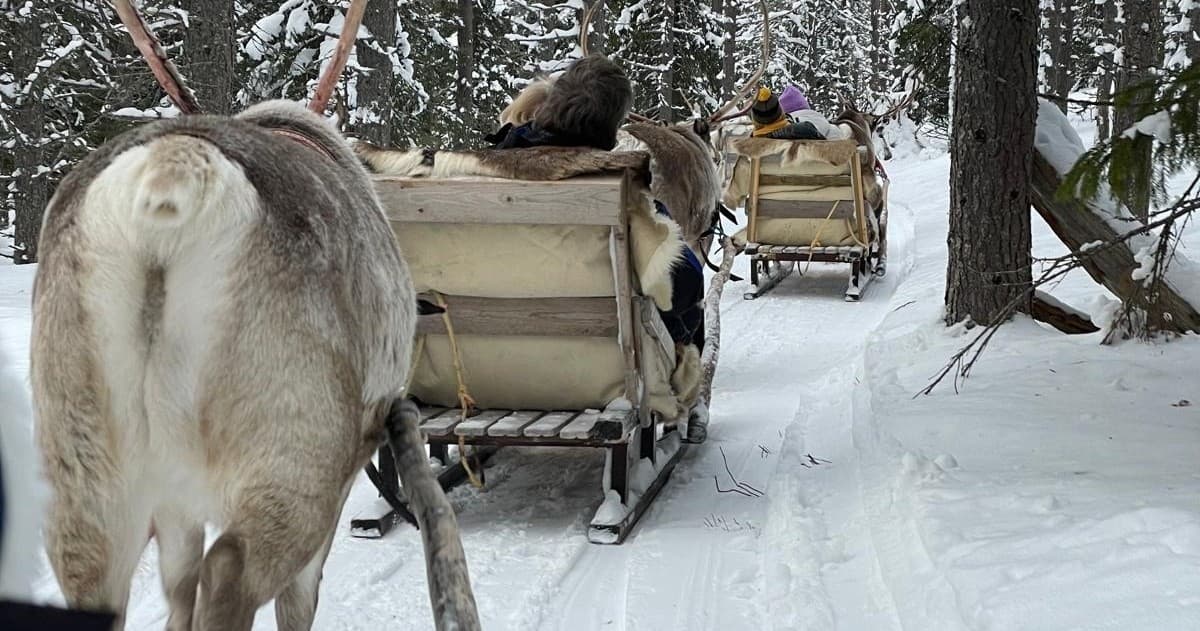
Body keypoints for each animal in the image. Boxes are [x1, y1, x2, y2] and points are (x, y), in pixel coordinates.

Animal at [29, 2, 479, 630]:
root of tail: (177, 169)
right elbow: (297, 599)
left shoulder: (176, 499)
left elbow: (178, 587)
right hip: (295, 448)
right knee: (230, 572)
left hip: (84, 466)